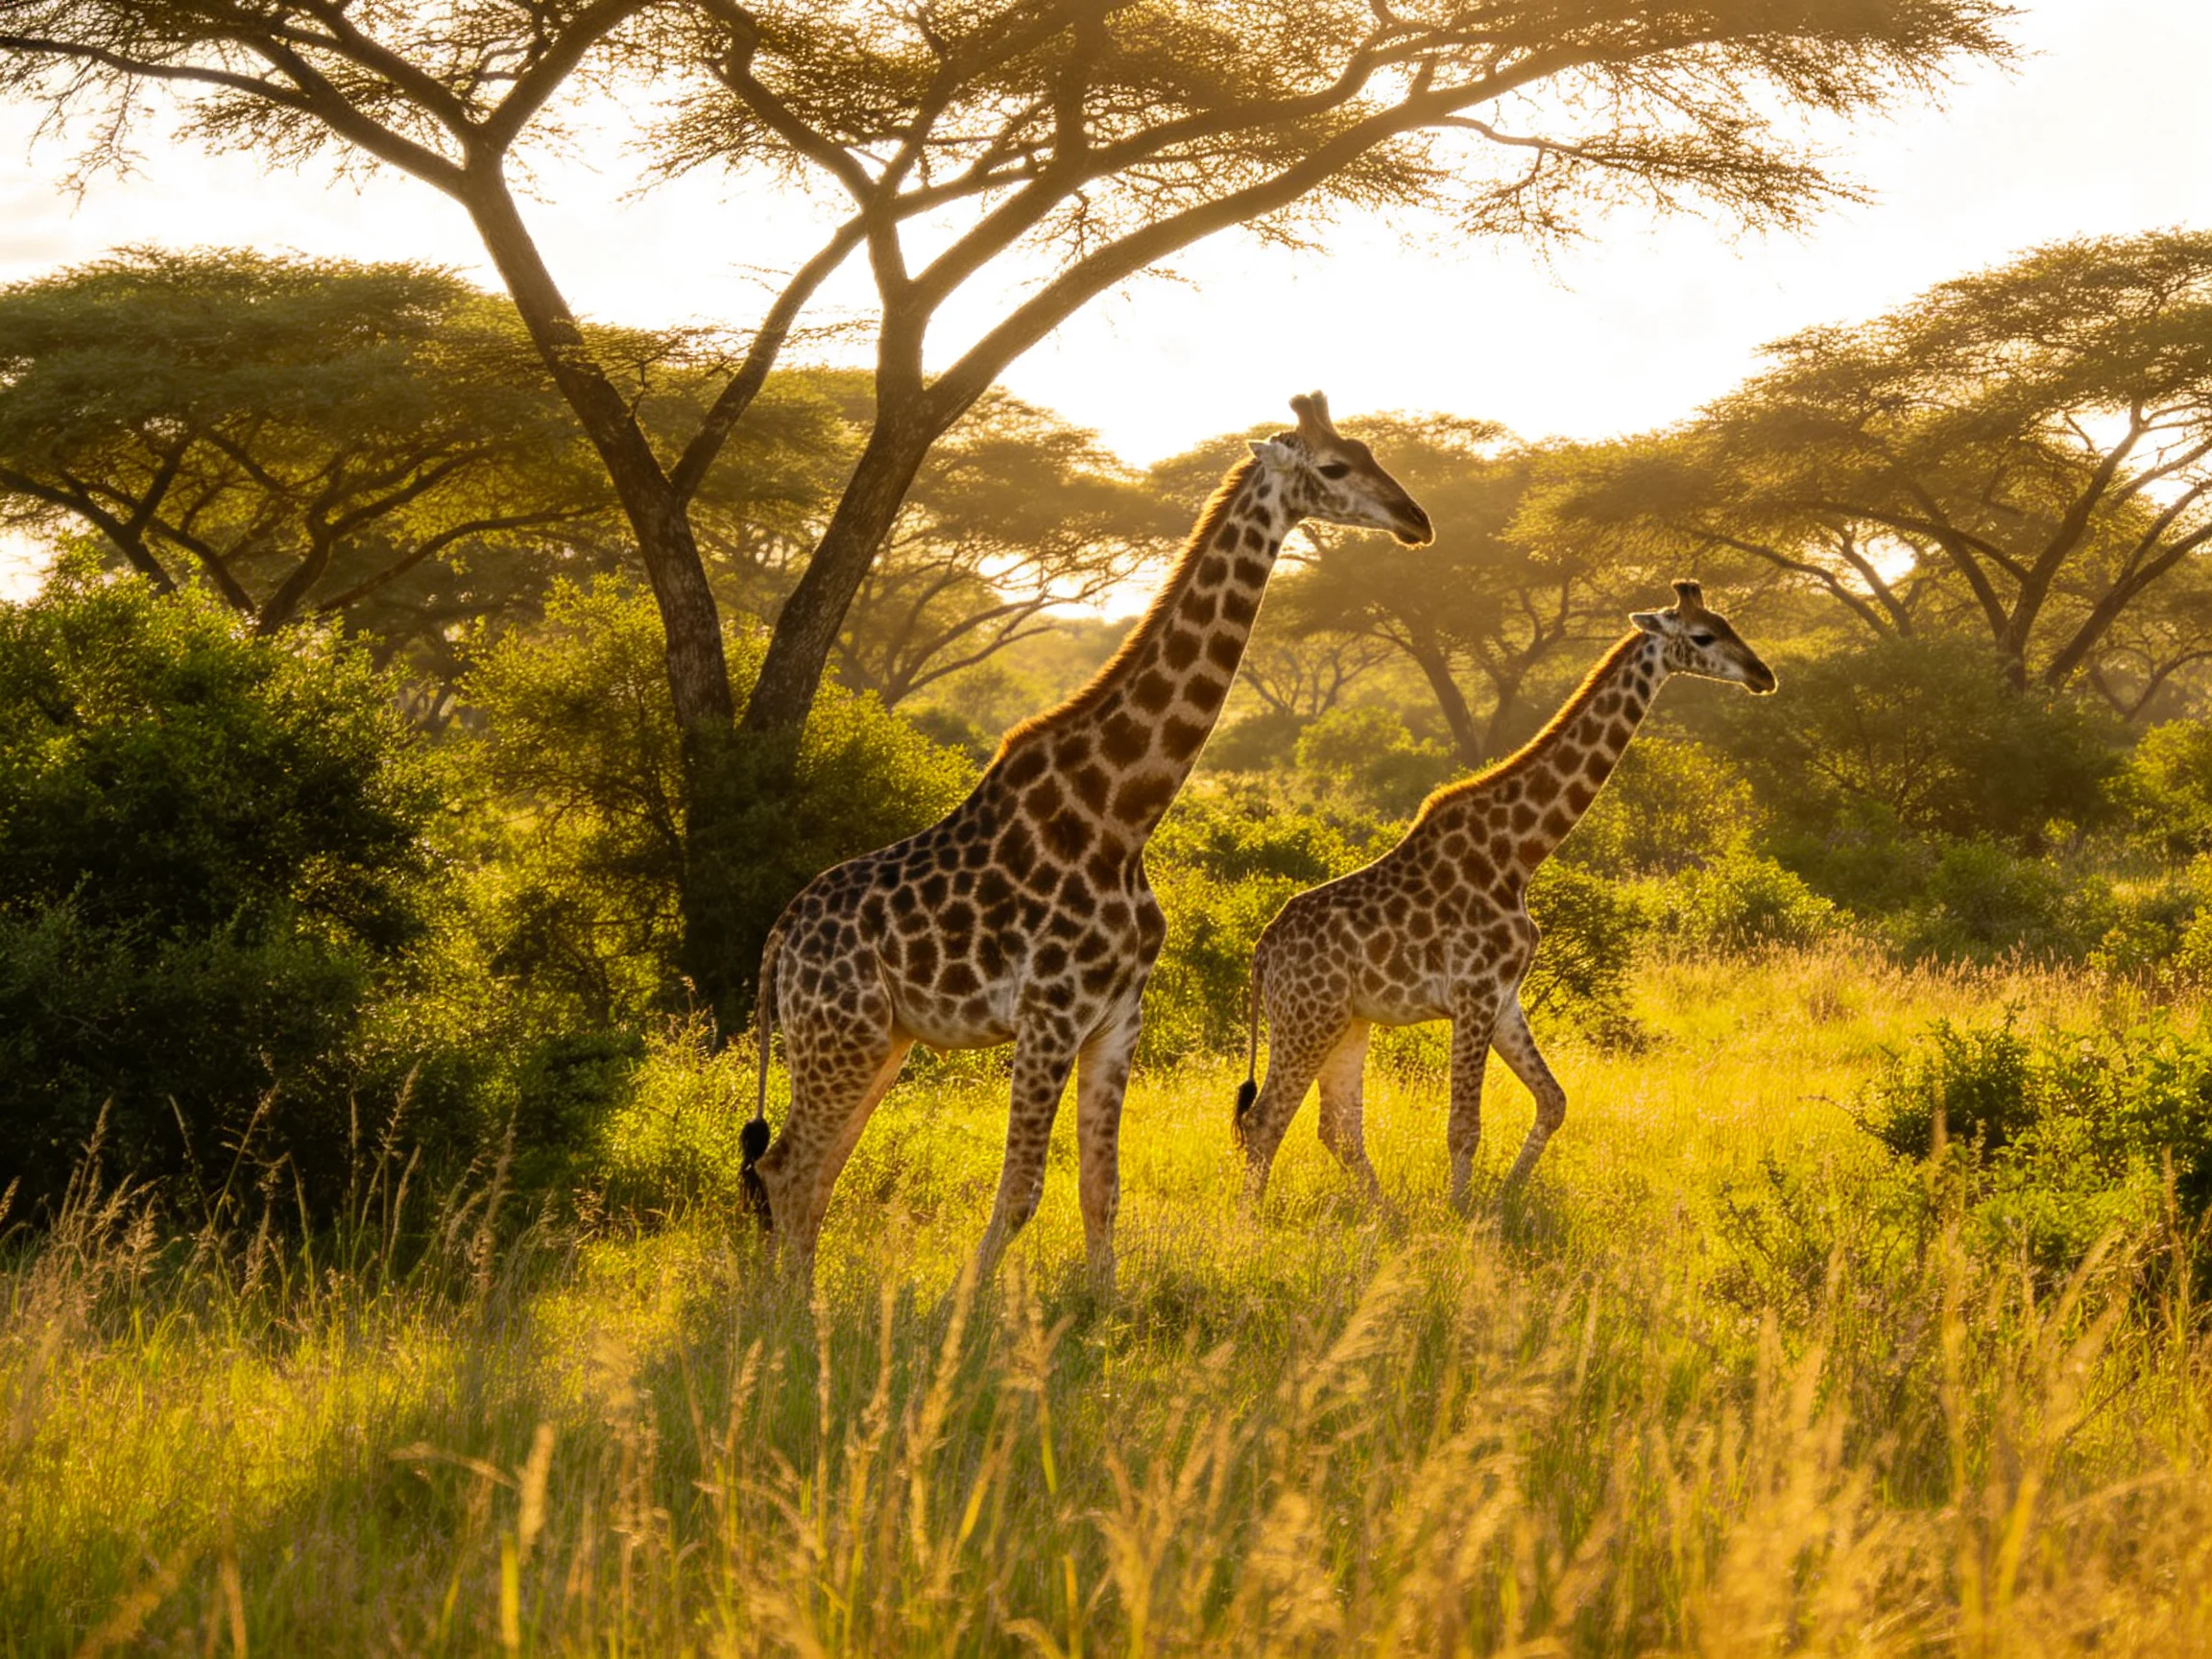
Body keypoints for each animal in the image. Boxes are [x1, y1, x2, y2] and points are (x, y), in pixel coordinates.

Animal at [741, 393, 1433, 1289]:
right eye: (1336, 467)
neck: (1123, 813)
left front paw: (1103, 1308)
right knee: (788, 1166)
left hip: (876, 1040)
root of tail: (779, 942)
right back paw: (788, 1312)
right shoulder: (1050, 1014)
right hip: (841, 1035)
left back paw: (796, 1305)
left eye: (1373, 450)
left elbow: (1102, 1187)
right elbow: (1022, 1189)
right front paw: (970, 1304)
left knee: (812, 1170)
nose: (1417, 519)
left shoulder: (1118, 1016)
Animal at [1233, 581, 1776, 1210]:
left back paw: (1385, 1216)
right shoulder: (1473, 992)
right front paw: (1460, 1214)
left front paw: (1503, 1201)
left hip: (1348, 1020)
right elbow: (1463, 1126)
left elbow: (1554, 1101)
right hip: (1307, 1018)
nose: (1763, 674)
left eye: (1730, 622)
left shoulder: (1505, 996)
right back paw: (1250, 1224)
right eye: (1703, 636)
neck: (1519, 853)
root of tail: (1261, 954)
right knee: (1266, 1118)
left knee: (1336, 1126)